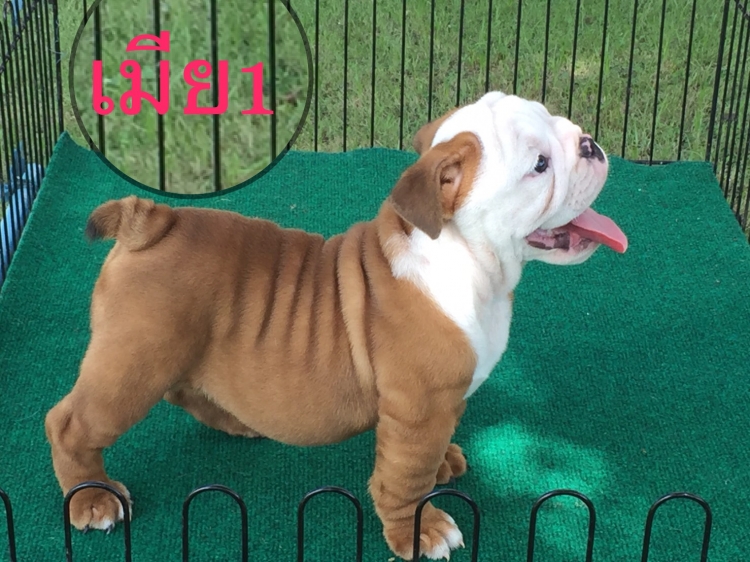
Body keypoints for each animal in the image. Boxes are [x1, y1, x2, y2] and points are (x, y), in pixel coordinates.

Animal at [45, 91, 627, 560]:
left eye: (560, 122)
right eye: (539, 165)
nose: (590, 144)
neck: (469, 259)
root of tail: (150, 221)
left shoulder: (441, 405)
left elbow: (431, 451)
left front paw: (444, 463)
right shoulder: (419, 409)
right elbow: (404, 477)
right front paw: (421, 532)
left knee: (185, 389)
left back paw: (234, 418)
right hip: (134, 364)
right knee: (71, 424)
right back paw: (92, 498)